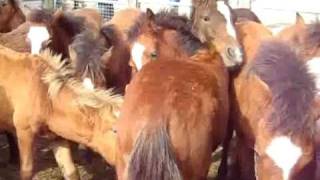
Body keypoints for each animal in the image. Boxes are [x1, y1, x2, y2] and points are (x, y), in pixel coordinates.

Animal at [0, 44, 122, 180]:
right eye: (115, 130)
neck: (44, 95)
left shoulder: (57, 136)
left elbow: (71, 171)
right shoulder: (24, 131)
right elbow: (26, 171)